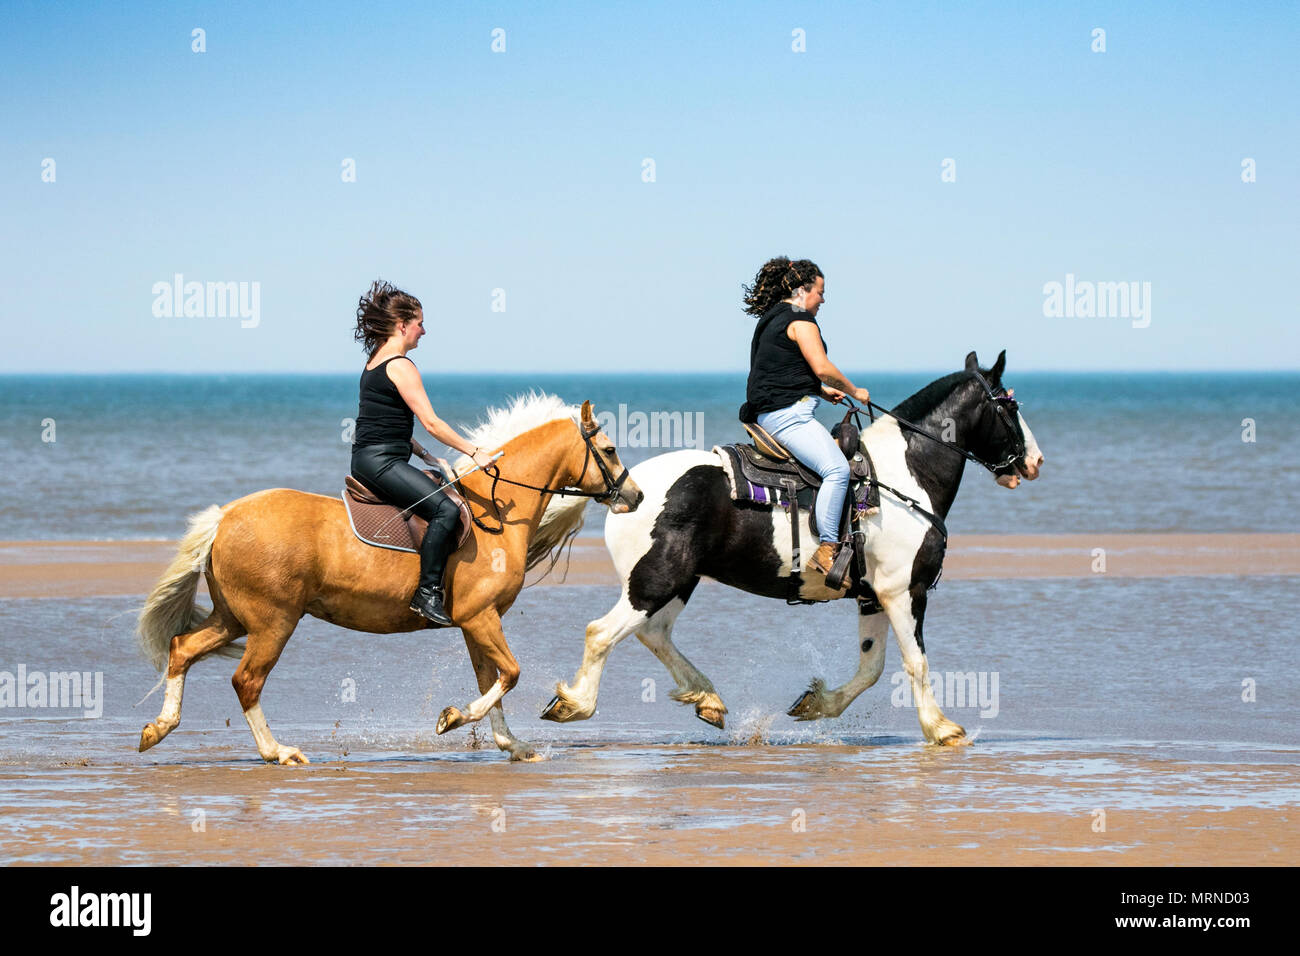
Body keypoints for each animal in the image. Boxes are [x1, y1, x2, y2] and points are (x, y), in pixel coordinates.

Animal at [139, 395, 642, 764]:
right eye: (610, 450)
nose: (635, 496)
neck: (495, 513)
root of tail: (224, 518)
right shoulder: (480, 618)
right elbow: (510, 675)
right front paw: (452, 718)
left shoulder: (476, 623)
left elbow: (493, 681)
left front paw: (511, 745)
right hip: (272, 623)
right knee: (246, 681)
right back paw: (277, 752)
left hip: (234, 619)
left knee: (181, 648)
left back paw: (158, 729)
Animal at [540, 351, 1045, 749]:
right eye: (1010, 404)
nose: (1035, 461)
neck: (903, 477)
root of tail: (628, 489)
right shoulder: (905, 591)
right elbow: (915, 663)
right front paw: (941, 729)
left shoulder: (872, 596)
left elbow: (872, 666)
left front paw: (817, 703)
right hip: (656, 579)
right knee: (602, 633)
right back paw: (575, 704)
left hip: (677, 581)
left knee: (654, 633)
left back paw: (707, 699)